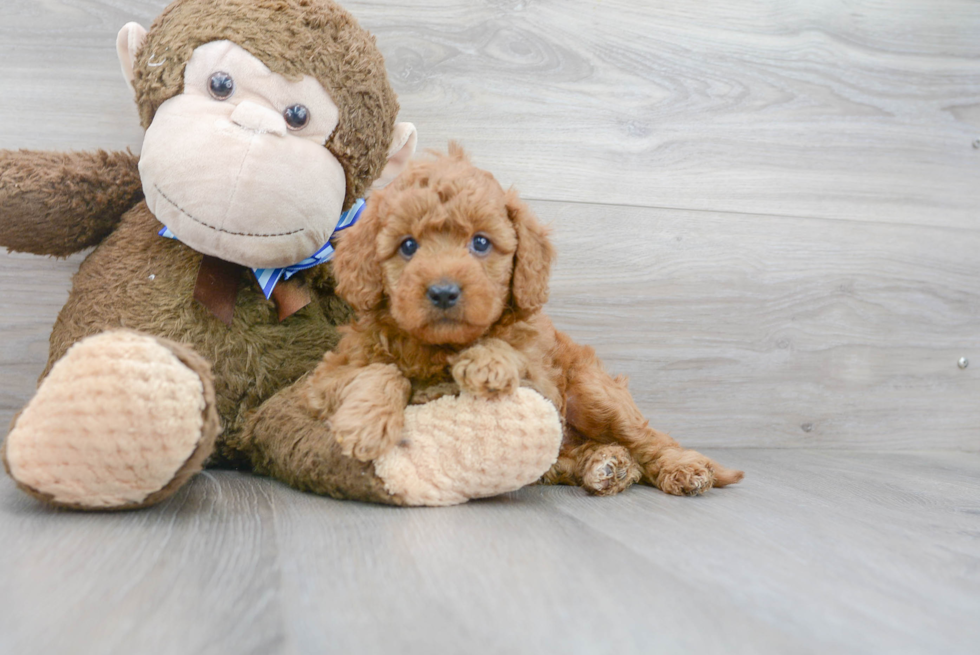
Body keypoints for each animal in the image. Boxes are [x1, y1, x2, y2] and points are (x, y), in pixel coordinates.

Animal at [306, 145, 744, 498]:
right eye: (408, 246)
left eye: (481, 242)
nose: (444, 292)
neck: (441, 347)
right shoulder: (325, 376)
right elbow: (379, 371)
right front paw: (365, 422)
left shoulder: (541, 384)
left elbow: (511, 351)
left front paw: (488, 361)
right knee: (567, 458)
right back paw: (606, 466)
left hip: (595, 393)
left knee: (648, 438)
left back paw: (680, 468)